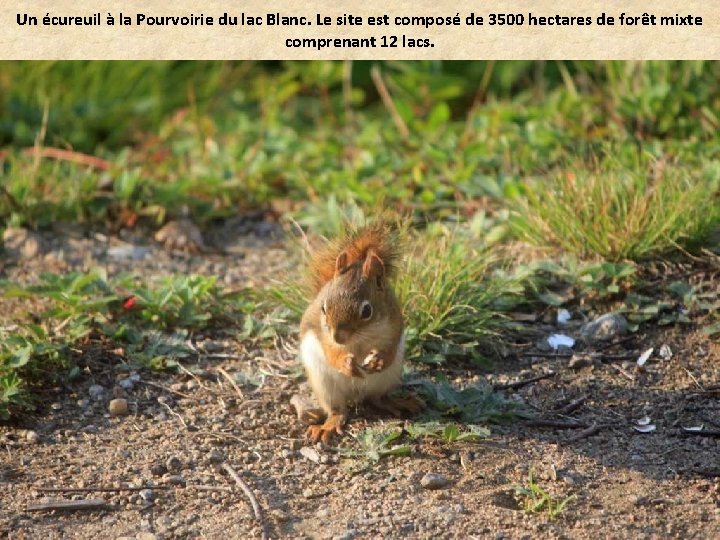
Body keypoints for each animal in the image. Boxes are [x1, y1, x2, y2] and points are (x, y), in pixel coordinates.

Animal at [299, 222, 423, 444]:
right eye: (323, 308)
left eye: (366, 311)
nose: (338, 337)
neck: (359, 340)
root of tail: (355, 395)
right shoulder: (323, 335)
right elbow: (331, 352)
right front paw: (345, 363)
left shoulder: (394, 324)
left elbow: (390, 347)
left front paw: (379, 360)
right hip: (325, 385)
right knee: (338, 410)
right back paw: (328, 425)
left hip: (386, 379)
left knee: (377, 399)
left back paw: (397, 402)